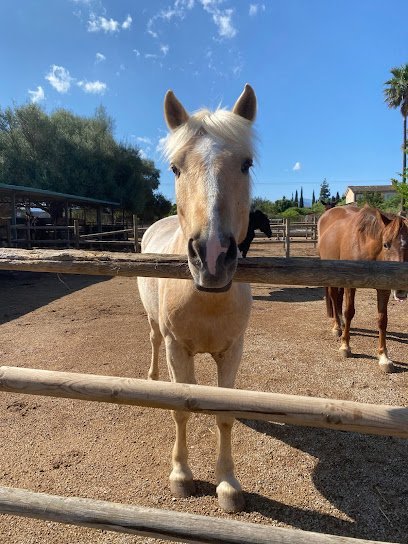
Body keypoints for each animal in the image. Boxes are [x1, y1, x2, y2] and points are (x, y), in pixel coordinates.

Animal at [139, 84, 256, 510]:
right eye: (175, 168)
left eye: (246, 164)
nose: (212, 255)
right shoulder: (178, 347)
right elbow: (181, 411)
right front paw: (181, 475)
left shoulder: (233, 349)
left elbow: (223, 414)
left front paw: (228, 484)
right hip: (155, 326)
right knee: (153, 342)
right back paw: (152, 377)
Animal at [318, 204, 408, 374]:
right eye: (386, 244)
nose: (400, 289)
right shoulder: (351, 285)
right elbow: (349, 312)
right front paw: (345, 347)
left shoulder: (384, 288)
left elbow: (382, 319)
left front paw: (384, 357)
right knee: (333, 297)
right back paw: (337, 327)